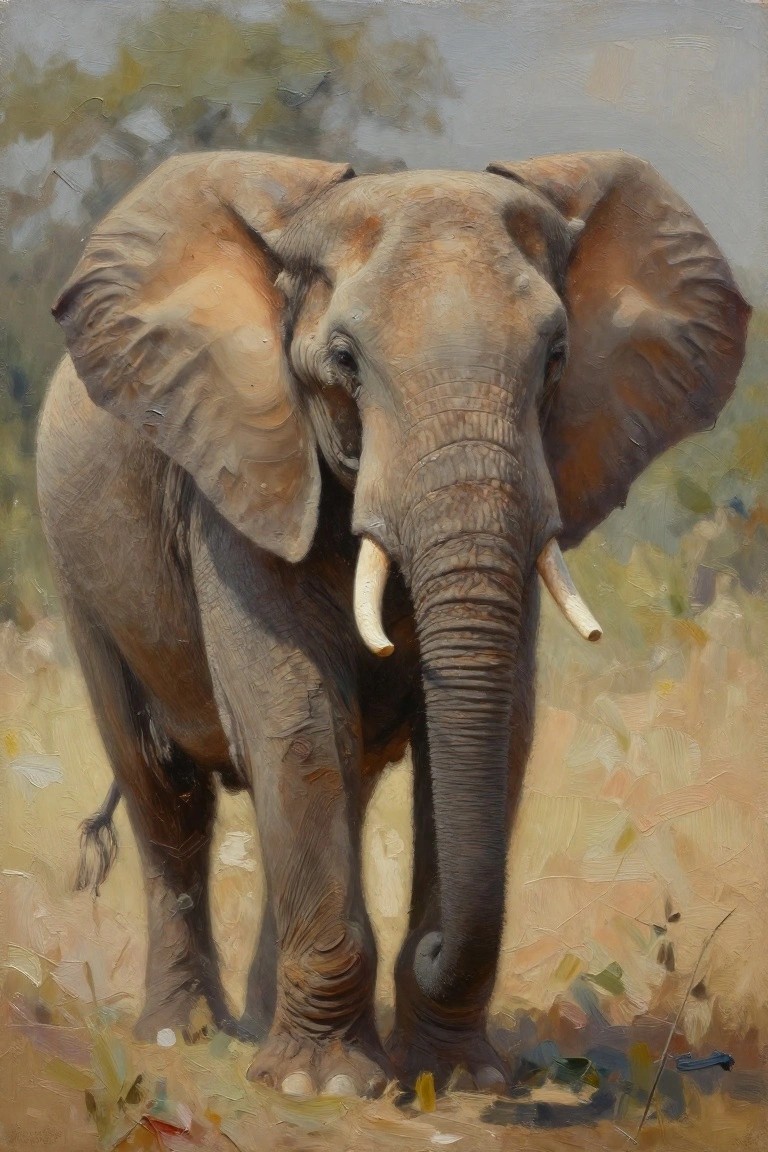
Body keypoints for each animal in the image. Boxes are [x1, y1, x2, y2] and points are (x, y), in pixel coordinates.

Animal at [36, 149, 749, 1098]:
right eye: (344, 359)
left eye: (557, 356)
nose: (435, 946)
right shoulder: (243, 473)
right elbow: (295, 718)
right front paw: (324, 1087)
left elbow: (493, 728)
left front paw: (455, 1079)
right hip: (79, 569)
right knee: (164, 788)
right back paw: (180, 1035)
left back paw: (259, 1024)